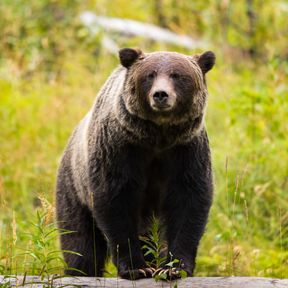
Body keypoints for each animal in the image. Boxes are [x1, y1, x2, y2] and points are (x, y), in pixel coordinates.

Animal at [55, 47, 214, 280]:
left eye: (177, 75)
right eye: (150, 75)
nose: (160, 94)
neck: (157, 136)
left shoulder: (186, 151)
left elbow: (188, 201)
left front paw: (174, 267)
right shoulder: (119, 149)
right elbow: (116, 203)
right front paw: (136, 267)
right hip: (74, 187)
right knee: (80, 241)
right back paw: (80, 271)